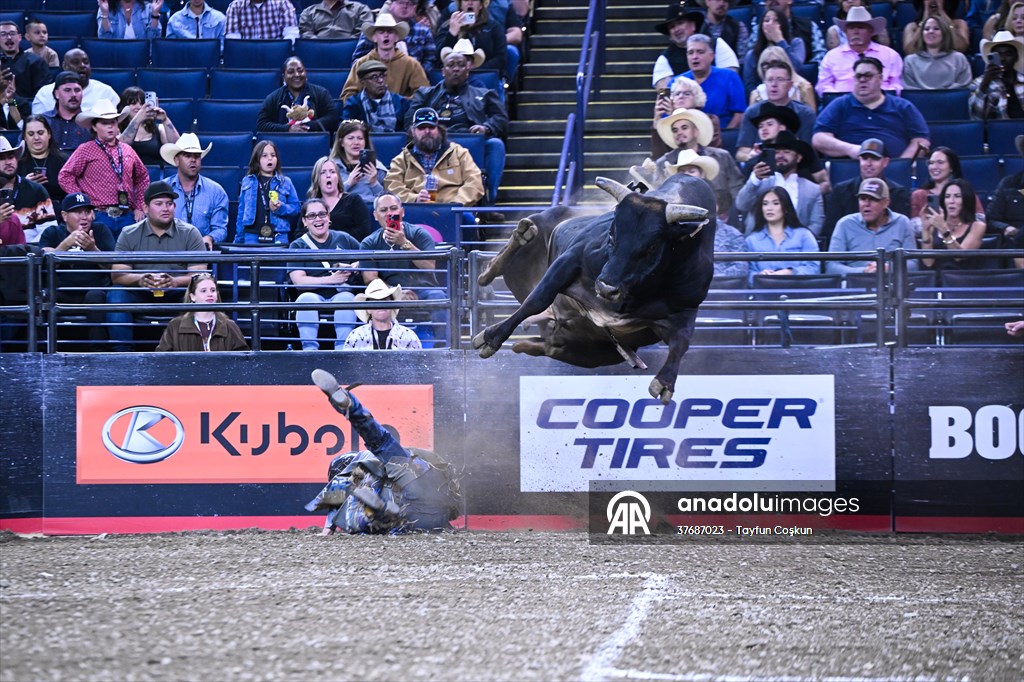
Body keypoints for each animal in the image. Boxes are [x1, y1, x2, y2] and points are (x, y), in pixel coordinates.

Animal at [472, 174, 716, 404]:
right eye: (611, 233)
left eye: (652, 246)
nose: (606, 287)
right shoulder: (571, 259)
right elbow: (538, 299)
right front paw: (491, 337)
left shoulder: (685, 308)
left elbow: (682, 341)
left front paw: (665, 382)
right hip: (532, 243)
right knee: (509, 254)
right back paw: (503, 255)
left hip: (592, 353)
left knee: (552, 346)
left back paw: (523, 345)